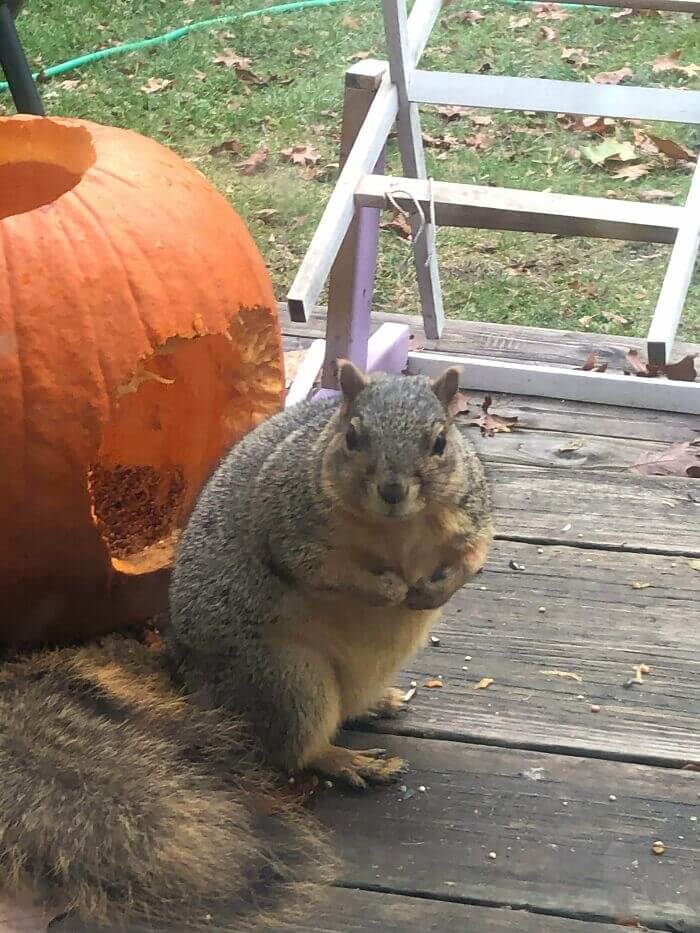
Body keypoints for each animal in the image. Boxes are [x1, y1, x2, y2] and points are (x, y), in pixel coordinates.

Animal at [171, 362, 492, 788]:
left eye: (440, 442)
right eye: (352, 436)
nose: (392, 490)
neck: (398, 527)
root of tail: (198, 689)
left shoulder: (470, 512)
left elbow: (474, 556)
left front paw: (430, 592)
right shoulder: (291, 528)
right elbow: (326, 572)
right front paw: (391, 590)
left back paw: (378, 703)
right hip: (287, 678)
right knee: (297, 750)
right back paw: (352, 762)